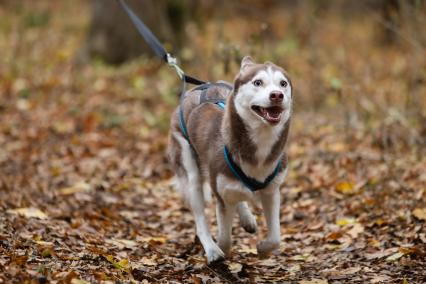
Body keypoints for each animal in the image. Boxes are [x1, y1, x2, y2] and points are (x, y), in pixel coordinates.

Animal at [168, 56, 292, 262]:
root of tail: (194, 90)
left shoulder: (272, 191)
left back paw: (247, 218)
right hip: (189, 168)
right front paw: (222, 251)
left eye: (283, 83)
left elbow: (276, 237)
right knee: (200, 217)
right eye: (258, 82)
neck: (260, 142)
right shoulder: (221, 195)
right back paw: (211, 249)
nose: (277, 95)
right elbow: (225, 239)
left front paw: (263, 248)